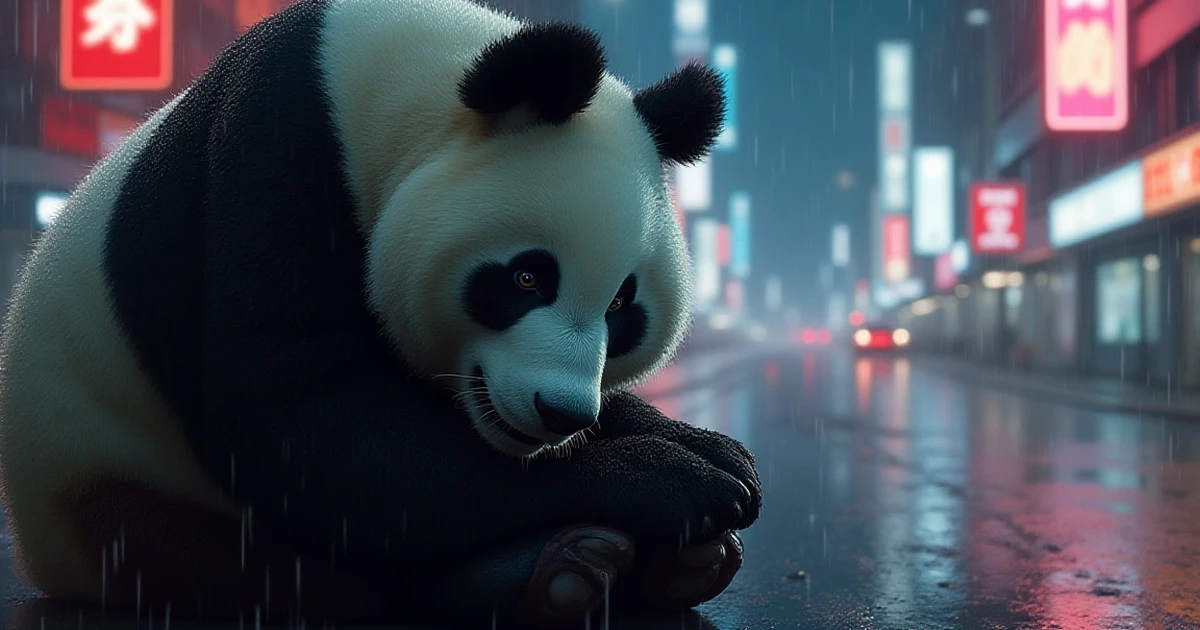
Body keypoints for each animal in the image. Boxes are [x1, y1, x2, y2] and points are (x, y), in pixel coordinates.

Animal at [0, 0, 762, 627]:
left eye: (622, 305)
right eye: (526, 277)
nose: (562, 413)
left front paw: (710, 451)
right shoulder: (270, 157)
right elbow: (308, 422)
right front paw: (675, 482)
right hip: (121, 498)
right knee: (272, 569)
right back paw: (555, 575)